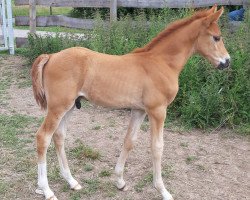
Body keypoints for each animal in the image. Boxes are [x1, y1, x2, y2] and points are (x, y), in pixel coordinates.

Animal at [31, 5, 230, 200]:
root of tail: (51, 56)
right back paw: (47, 190)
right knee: (43, 137)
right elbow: (157, 147)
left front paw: (120, 181)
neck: (161, 63)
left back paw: (72, 182)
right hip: (58, 107)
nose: (227, 62)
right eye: (216, 37)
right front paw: (163, 190)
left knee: (59, 136)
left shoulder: (139, 110)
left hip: (70, 106)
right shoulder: (158, 110)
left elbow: (129, 141)